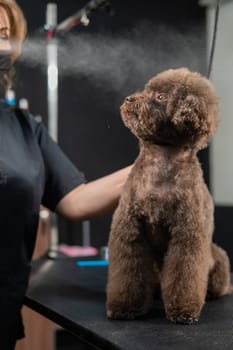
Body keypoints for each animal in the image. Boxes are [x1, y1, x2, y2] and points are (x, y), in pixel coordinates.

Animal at [106, 67, 232, 324]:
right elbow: (128, 273)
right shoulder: (129, 229)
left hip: (218, 258)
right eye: (147, 90)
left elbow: (183, 274)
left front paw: (183, 310)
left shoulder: (187, 233)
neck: (160, 162)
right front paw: (125, 307)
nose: (129, 99)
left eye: (161, 97)